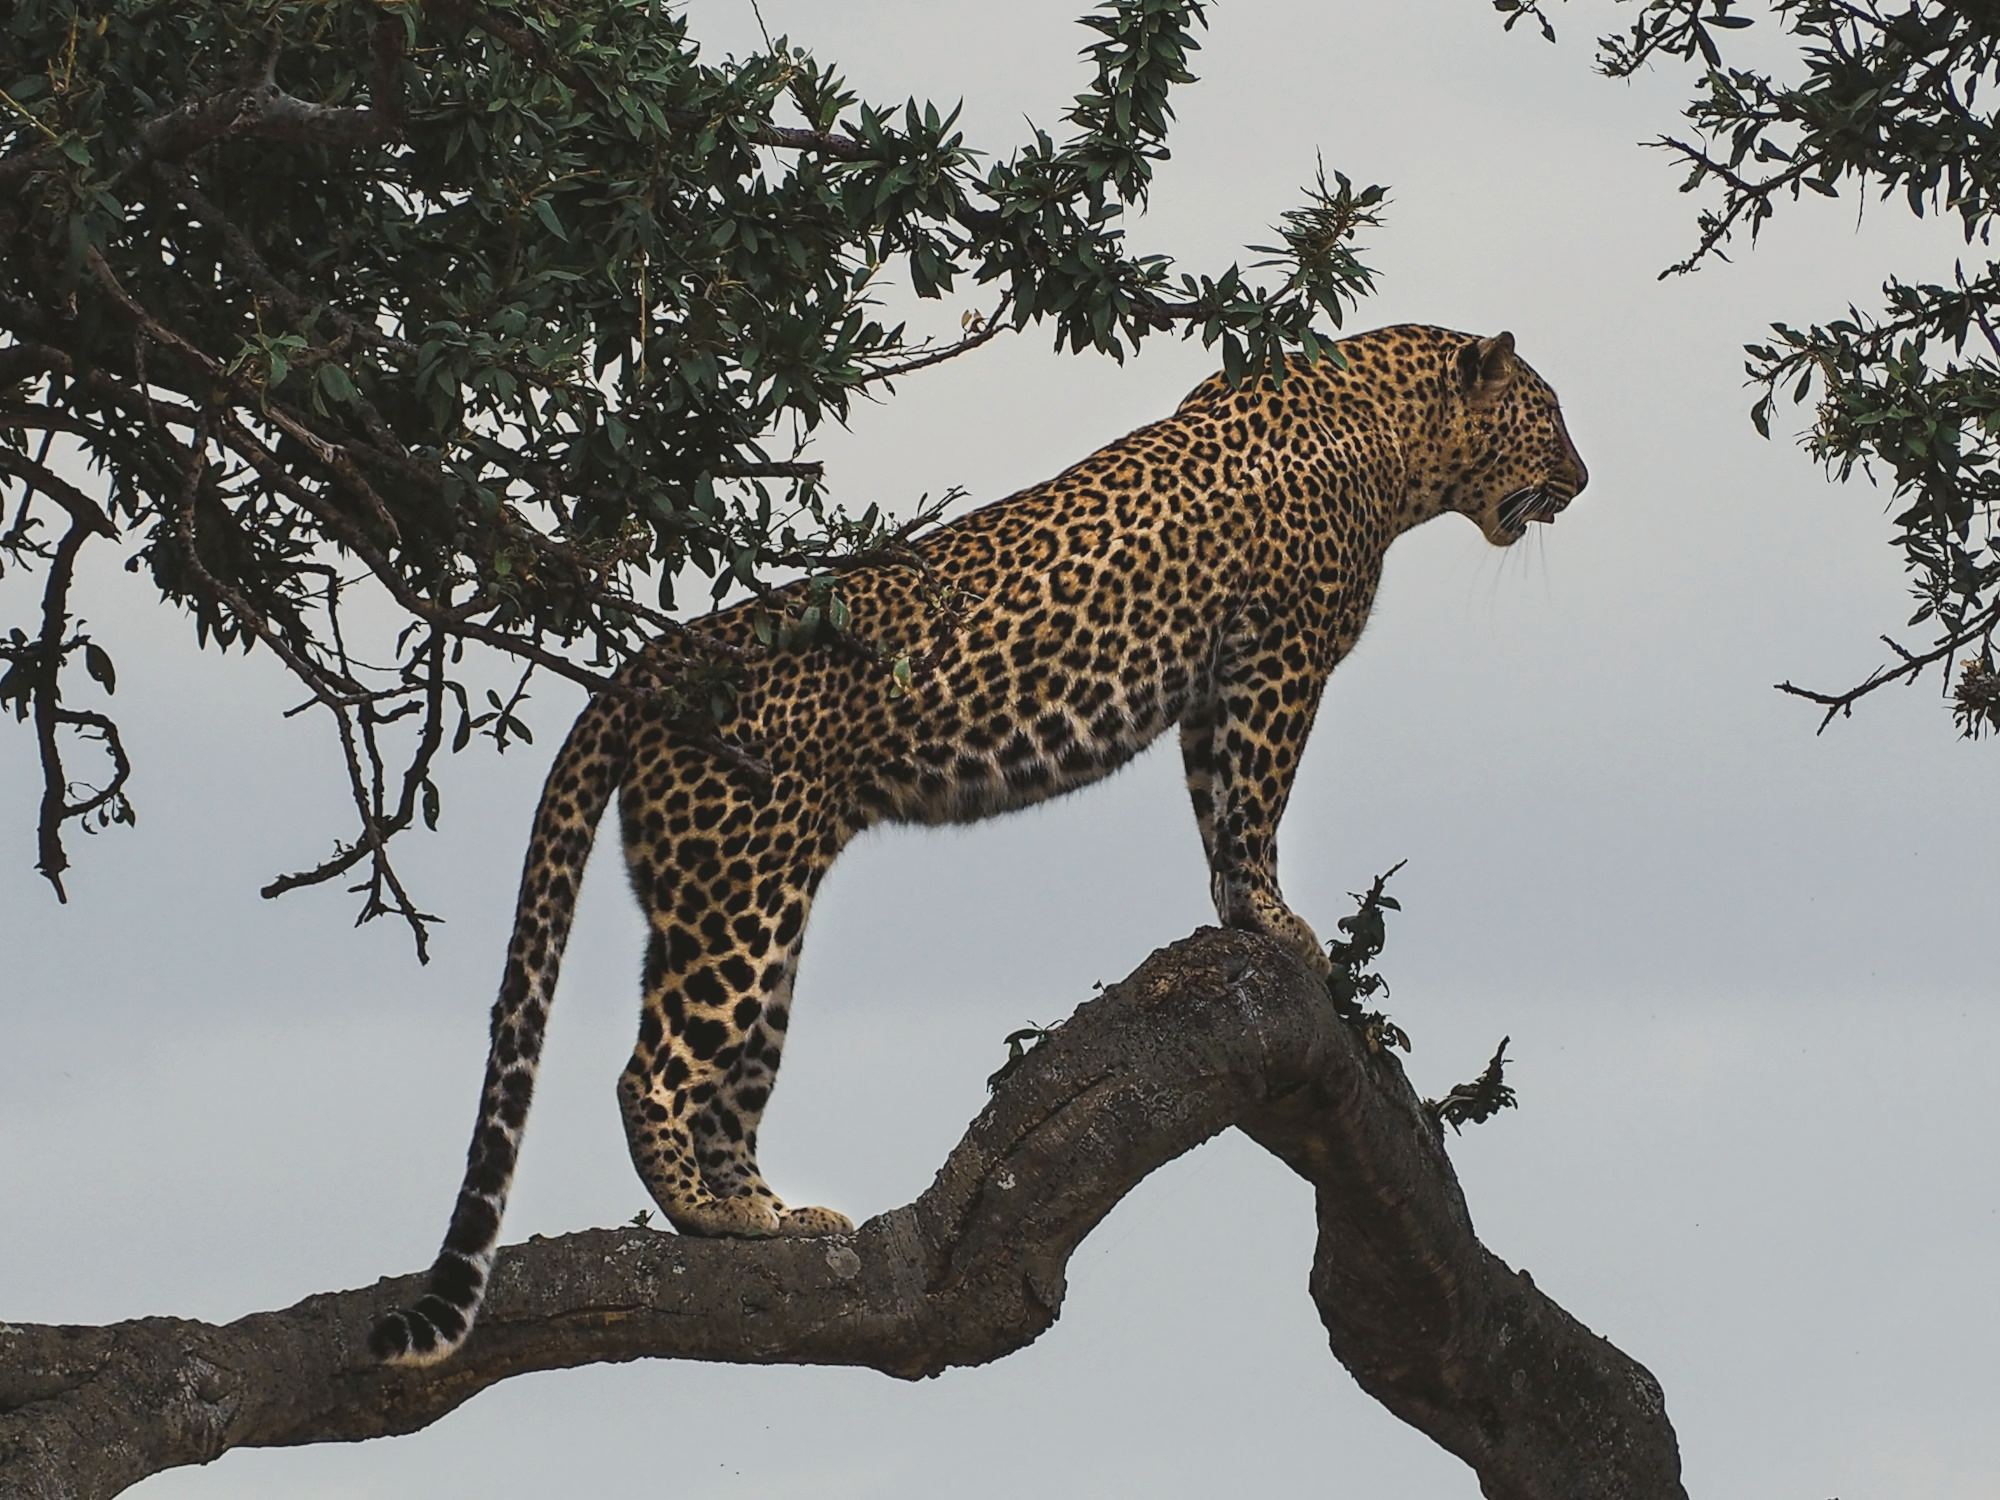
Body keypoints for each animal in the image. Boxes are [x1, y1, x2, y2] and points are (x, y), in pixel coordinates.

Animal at [369, 323, 1589, 1365]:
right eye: (1548, 417)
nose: (1582, 482)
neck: (1393, 435)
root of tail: (662, 658)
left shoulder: (1213, 688)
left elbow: (1215, 807)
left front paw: (1242, 915)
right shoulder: (1278, 658)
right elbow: (1255, 802)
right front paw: (1279, 923)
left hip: (744, 906)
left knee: (727, 1077)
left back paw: (767, 1219)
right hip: (738, 900)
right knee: (652, 1072)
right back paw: (712, 1216)